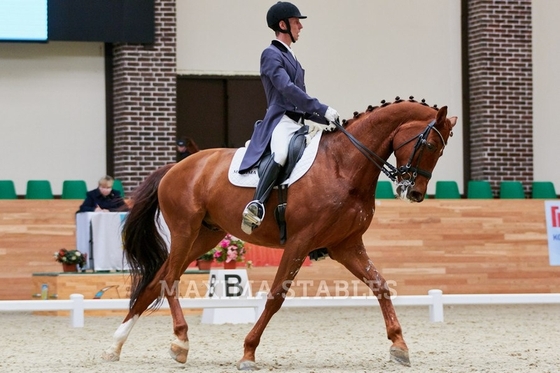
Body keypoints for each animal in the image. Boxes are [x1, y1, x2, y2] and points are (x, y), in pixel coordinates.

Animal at [103, 99, 458, 370]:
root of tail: (176, 167)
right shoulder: (301, 242)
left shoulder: (346, 244)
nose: (415, 193)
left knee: (156, 281)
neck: (344, 166)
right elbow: (275, 297)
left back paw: (116, 345)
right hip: (184, 230)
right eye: (428, 144)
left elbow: (381, 285)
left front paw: (399, 346)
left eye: (441, 152)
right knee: (170, 278)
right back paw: (180, 341)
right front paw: (248, 352)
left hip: (205, 236)